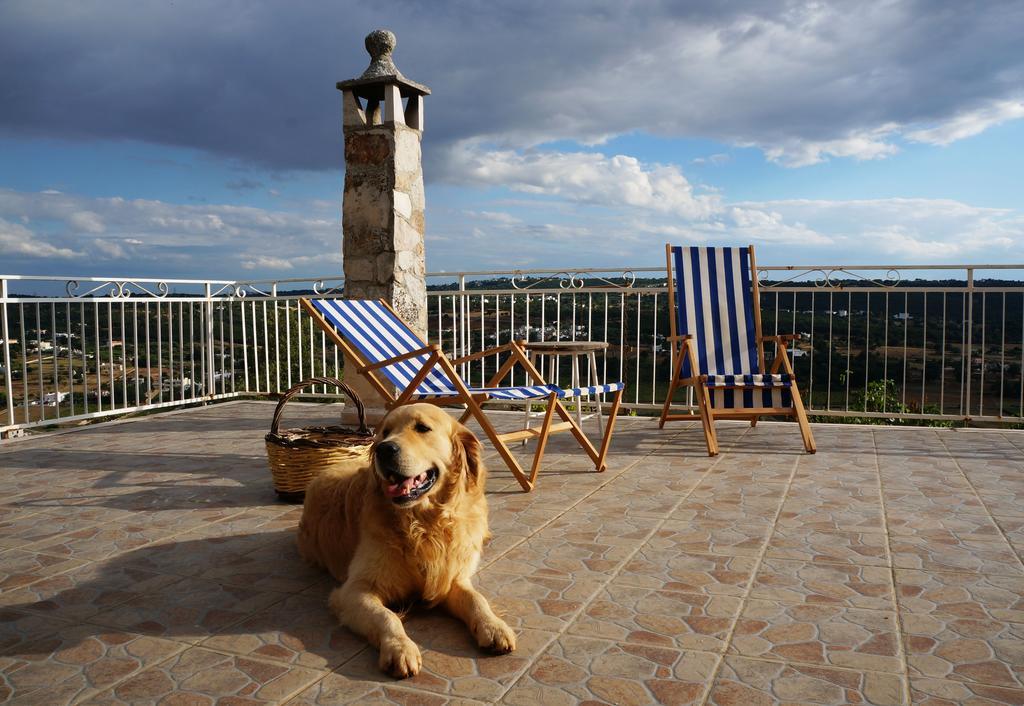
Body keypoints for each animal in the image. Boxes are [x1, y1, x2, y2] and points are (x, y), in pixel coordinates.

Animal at [299, 401, 516, 676]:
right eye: (385, 432)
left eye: (422, 428)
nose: (383, 449)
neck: (423, 524)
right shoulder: (353, 589)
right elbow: (387, 616)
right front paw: (400, 649)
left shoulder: (452, 578)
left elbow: (477, 600)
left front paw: (494, 626)